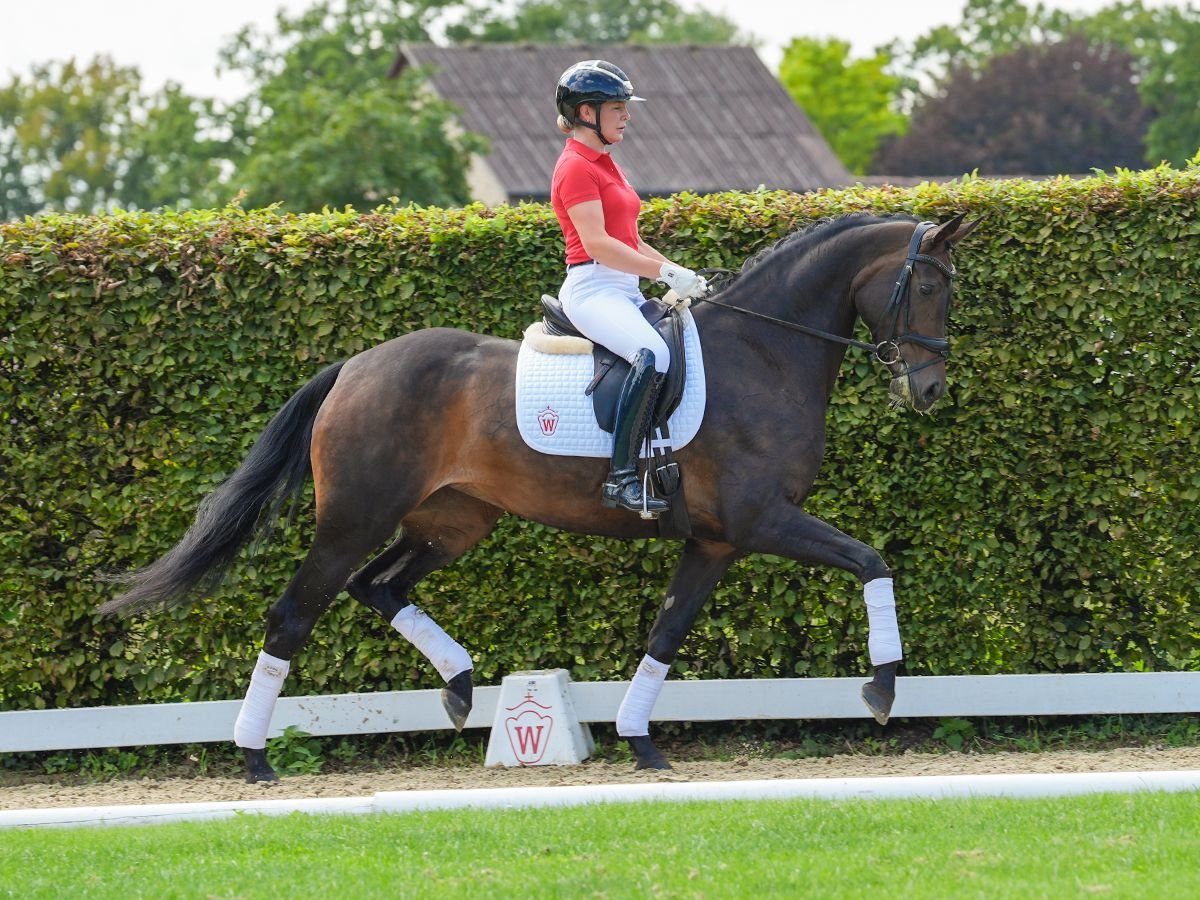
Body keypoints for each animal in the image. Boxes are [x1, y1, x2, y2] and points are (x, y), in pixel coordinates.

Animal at [103, 211, 979, 782]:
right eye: (929, 286)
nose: (929, 388)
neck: (765, 350)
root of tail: (353, 365)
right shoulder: (763, 521)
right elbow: (871, 560)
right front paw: (882, 687)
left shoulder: (715, 540)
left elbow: (666, 632)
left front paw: (639, 740)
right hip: (354, 519)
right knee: (295, 614)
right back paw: (255, 757)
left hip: (454, 521)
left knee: (378, 587)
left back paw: (461, 688)